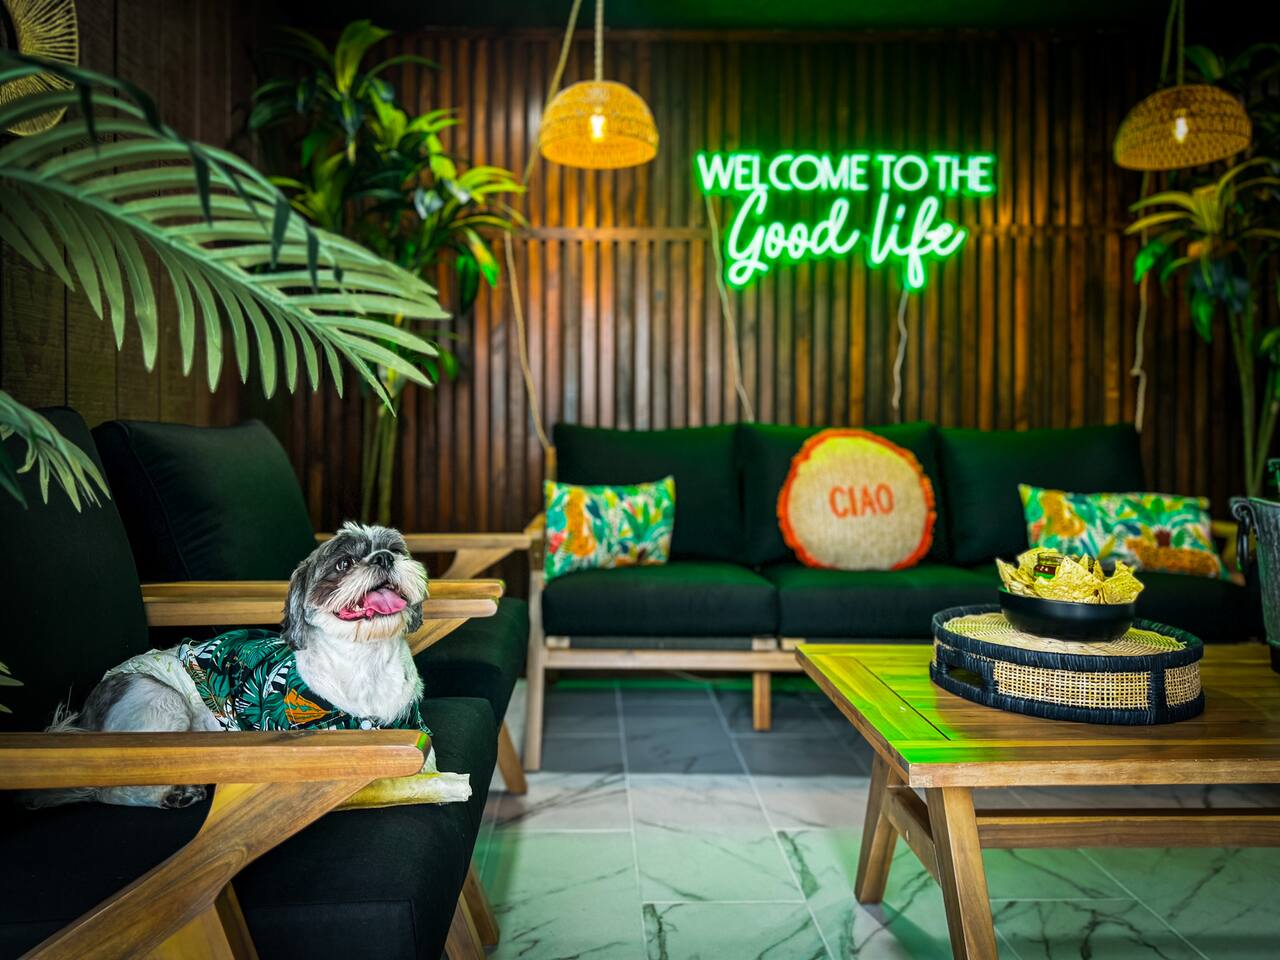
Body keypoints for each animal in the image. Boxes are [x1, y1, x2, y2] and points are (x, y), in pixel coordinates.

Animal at [36, 522, 449, 809]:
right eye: (344, 563)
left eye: (394, 549)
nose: (383, 558)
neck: (366, 665)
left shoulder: (416, 730)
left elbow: (429, 767)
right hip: (157, 698)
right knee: (111, 789)